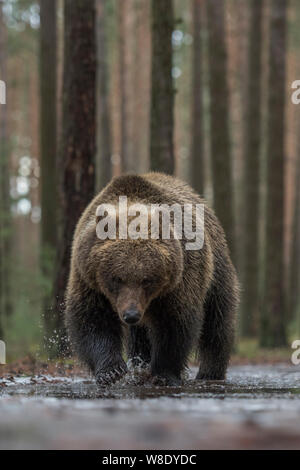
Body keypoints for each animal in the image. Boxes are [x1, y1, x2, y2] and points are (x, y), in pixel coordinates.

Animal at [65, 173, 239, 386]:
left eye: (146, 279)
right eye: (117, 278)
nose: (131, 315)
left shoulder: (180, 280)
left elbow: (174, 324)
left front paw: (163, 374)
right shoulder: (89, 280)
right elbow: (92, 319)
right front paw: (111, 371)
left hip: (216, 273)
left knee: (218, 322)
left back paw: (210, 373)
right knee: (140, 336)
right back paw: (141, 364)